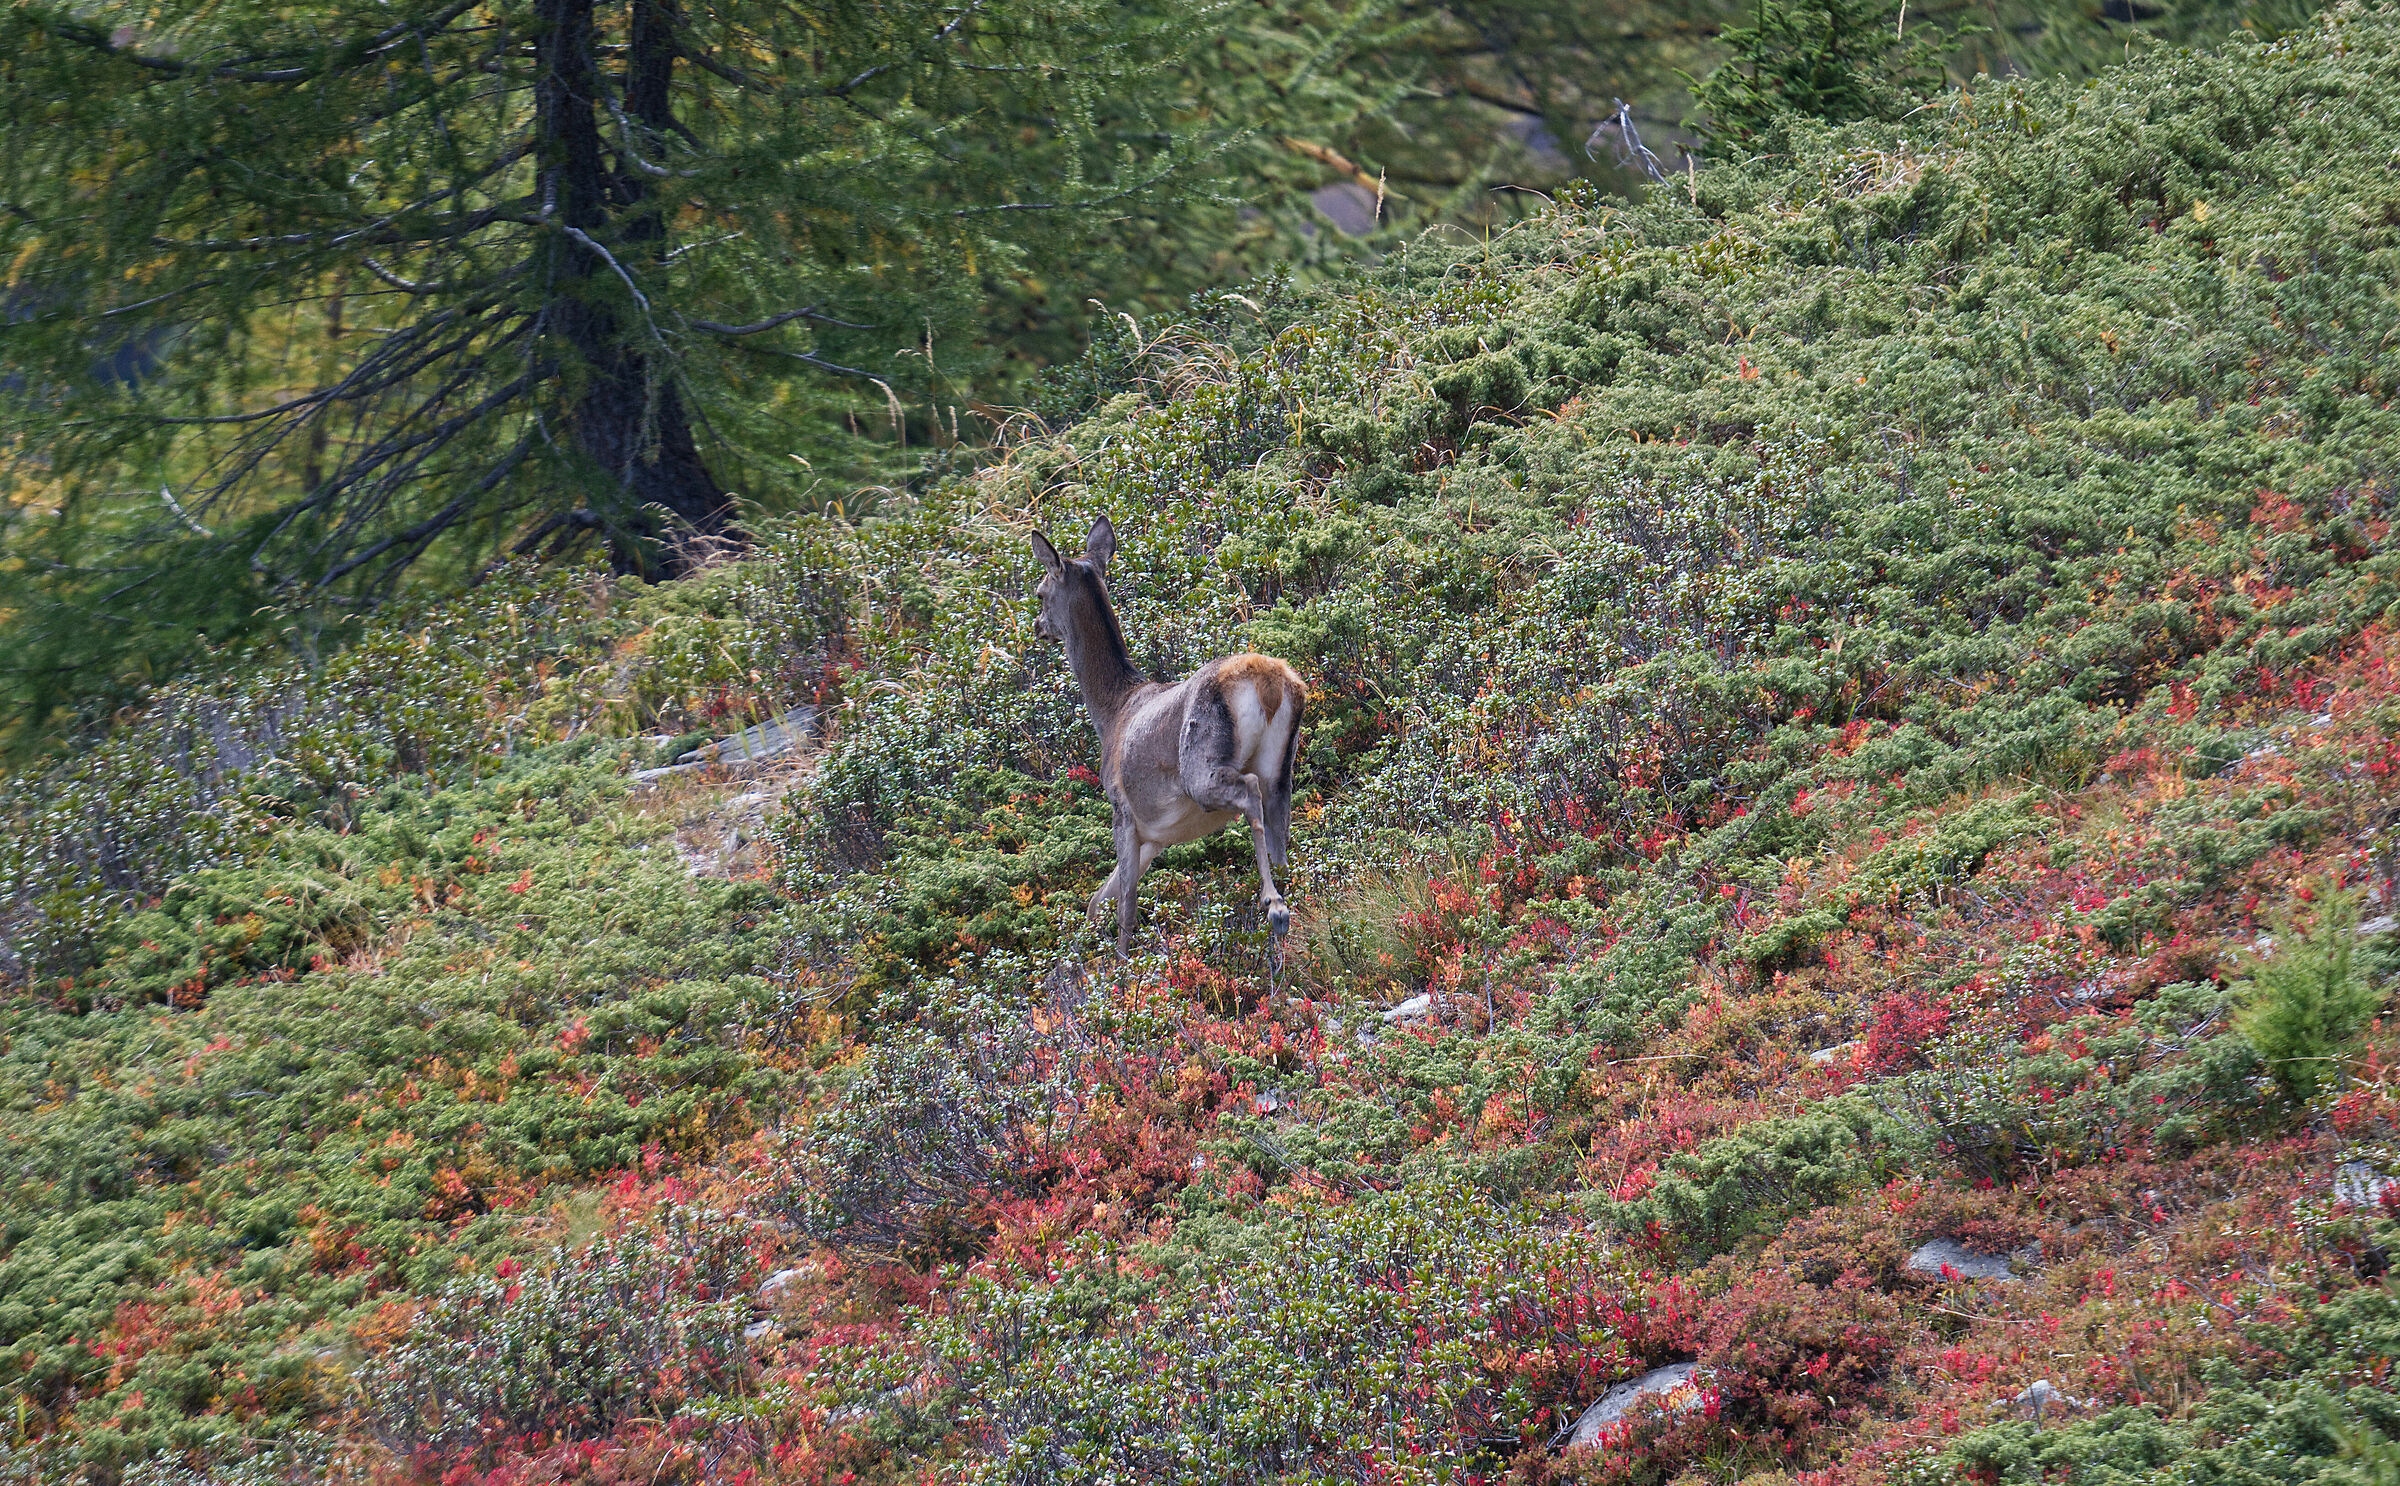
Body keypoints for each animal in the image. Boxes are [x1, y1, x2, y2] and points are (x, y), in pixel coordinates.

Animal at [1030, 515, 1306, 957]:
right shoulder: (1157, 835)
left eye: (1040, 592)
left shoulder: (1123, 810)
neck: (1112, 713)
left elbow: (1124, 908)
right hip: (1282, 764)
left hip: (1201, 766)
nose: (1038, 627)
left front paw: (1123, 964)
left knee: (1247, 792)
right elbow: (1097, 899)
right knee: (1279, 829)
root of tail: (1268, 680)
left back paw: (1273, 905)